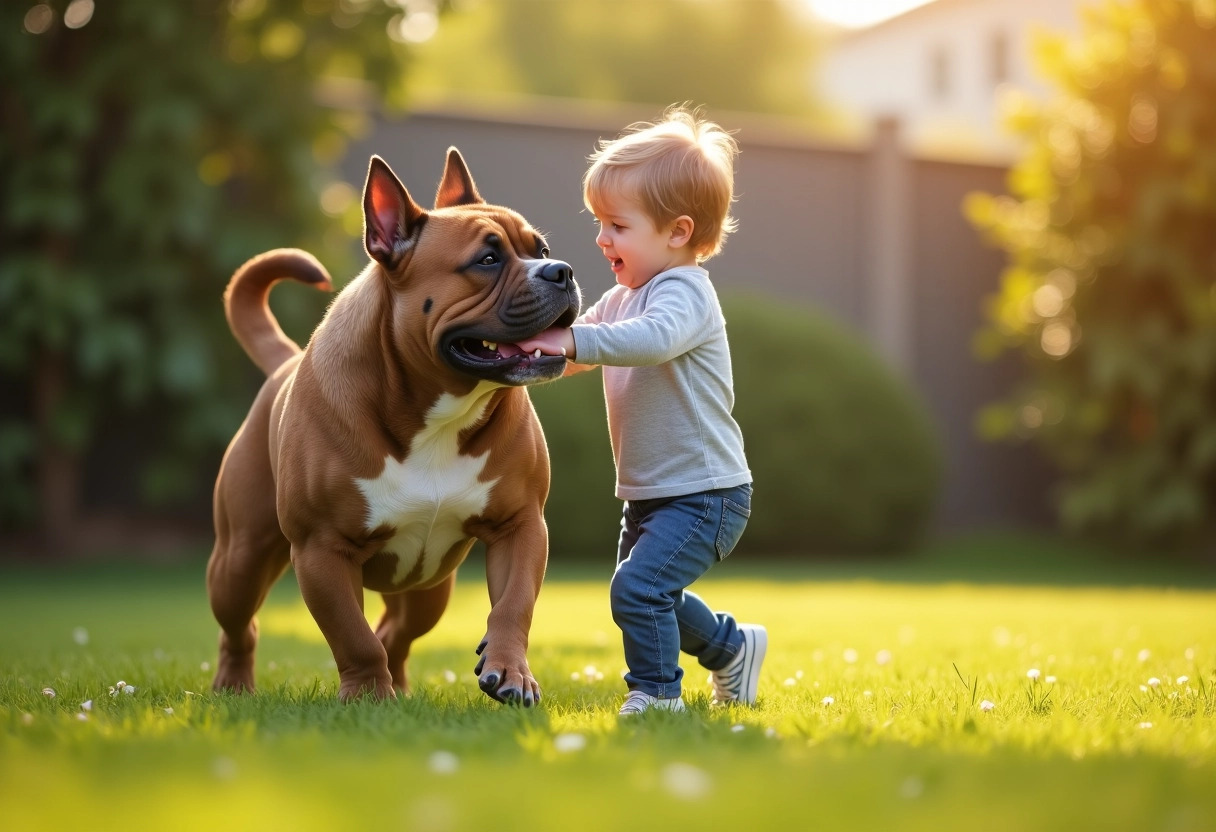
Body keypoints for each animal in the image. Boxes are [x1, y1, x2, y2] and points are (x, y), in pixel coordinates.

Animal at [206, 149, 581, 700]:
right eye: (487, 260)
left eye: (543, 249)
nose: (561, 271)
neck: (438, 410)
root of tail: (283, 364)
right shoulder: (321, 549)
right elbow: (351, 635)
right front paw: (367, 696)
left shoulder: (521, 526)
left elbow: (513, 606)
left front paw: (511, 671)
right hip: (240, 560)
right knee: (240, 625)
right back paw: (234, 684)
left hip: (428, 586)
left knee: (397, 632)